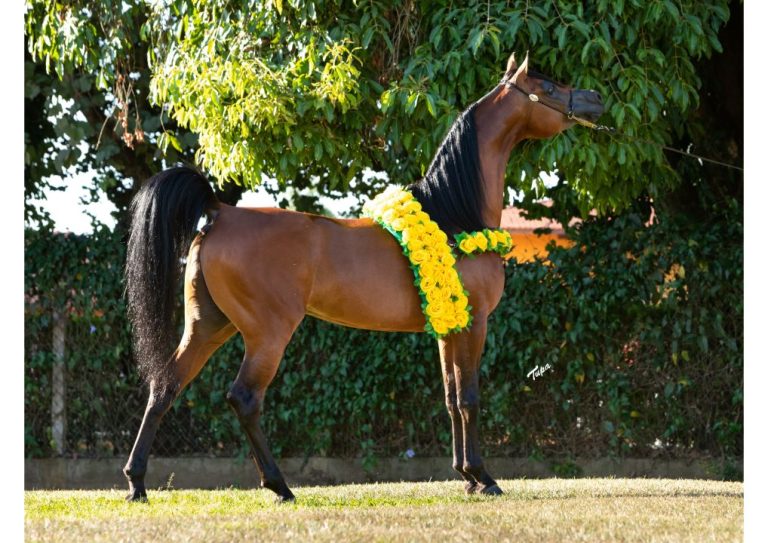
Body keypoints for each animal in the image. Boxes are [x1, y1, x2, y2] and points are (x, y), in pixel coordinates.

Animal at [122, 51, 604, 502]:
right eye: (547, 86)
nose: (595, 100)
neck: (455, 216)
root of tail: (220, 212)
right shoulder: (475, 324)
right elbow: (470, 397)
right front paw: (483, 478)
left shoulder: (448, 329)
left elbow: (451, 398)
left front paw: (465, 477)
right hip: (267, 334)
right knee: (244, 398)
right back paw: (279, 485)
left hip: (207, 325)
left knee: (165, 384)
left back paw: (137, 483)